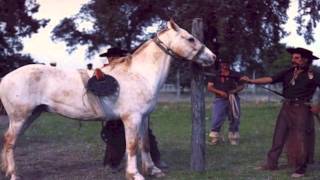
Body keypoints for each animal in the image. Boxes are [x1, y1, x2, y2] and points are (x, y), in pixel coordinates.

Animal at [0, 20, 216, 180]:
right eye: (190, 38)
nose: (213, 57)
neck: (139, 74)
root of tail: (5, 78)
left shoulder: (144, 118)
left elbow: (144, 143)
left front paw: (153, 170)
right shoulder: (132, 118)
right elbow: (132, 146)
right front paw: (135, 174)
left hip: (31, 116)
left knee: (9, 141)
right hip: (20, 118)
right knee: (10, 141)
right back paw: (14, 175)